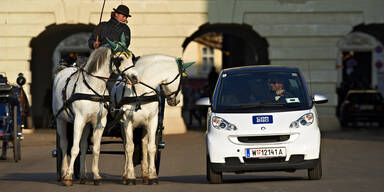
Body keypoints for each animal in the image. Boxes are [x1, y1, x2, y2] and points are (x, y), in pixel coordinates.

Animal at [51, 35, 139, 185]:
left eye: (132, 57)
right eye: (120, 59)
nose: (135, 78)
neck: (93, 87)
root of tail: (63, 70)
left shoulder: (99, 123)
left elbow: (95, 149)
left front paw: (96, 176)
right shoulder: (78, 121)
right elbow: (73, 149)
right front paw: (68, 176)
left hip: (87, 124)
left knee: (83, 146)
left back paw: (83, 175)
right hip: (61, 120)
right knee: (64, 145)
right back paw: (63, 173)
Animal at [112, 54, 195, 184]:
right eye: (183, 79)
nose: (177, 101)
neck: (140, 92)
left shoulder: (152, 122)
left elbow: (151, 148)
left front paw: (152, 175)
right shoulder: (126, 122)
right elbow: (130, 148)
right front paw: (130, 176)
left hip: (143, 127)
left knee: (144, 145)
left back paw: (145, 174)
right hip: (122, 126)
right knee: (126, 146)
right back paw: (126, 174)